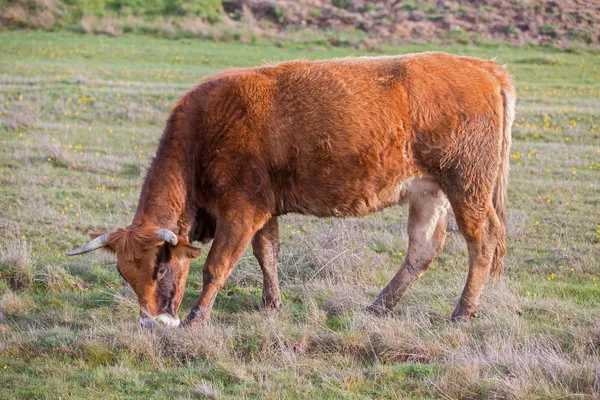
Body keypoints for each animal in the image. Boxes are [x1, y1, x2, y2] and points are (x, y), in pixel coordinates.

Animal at [65, 51, 516, 326]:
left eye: (160, 268)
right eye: (124, 274)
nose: (152, 323)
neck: (206, 129)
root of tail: (484, 67)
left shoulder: (241, 210)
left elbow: (217, 266)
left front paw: (197, 317)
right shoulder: (263, 210)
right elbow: (267, 254)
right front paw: (271, 304)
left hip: (467, 187)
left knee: (482, 241)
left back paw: (463, 311)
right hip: (428, 192)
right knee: (423, 247)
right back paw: (377, 306)